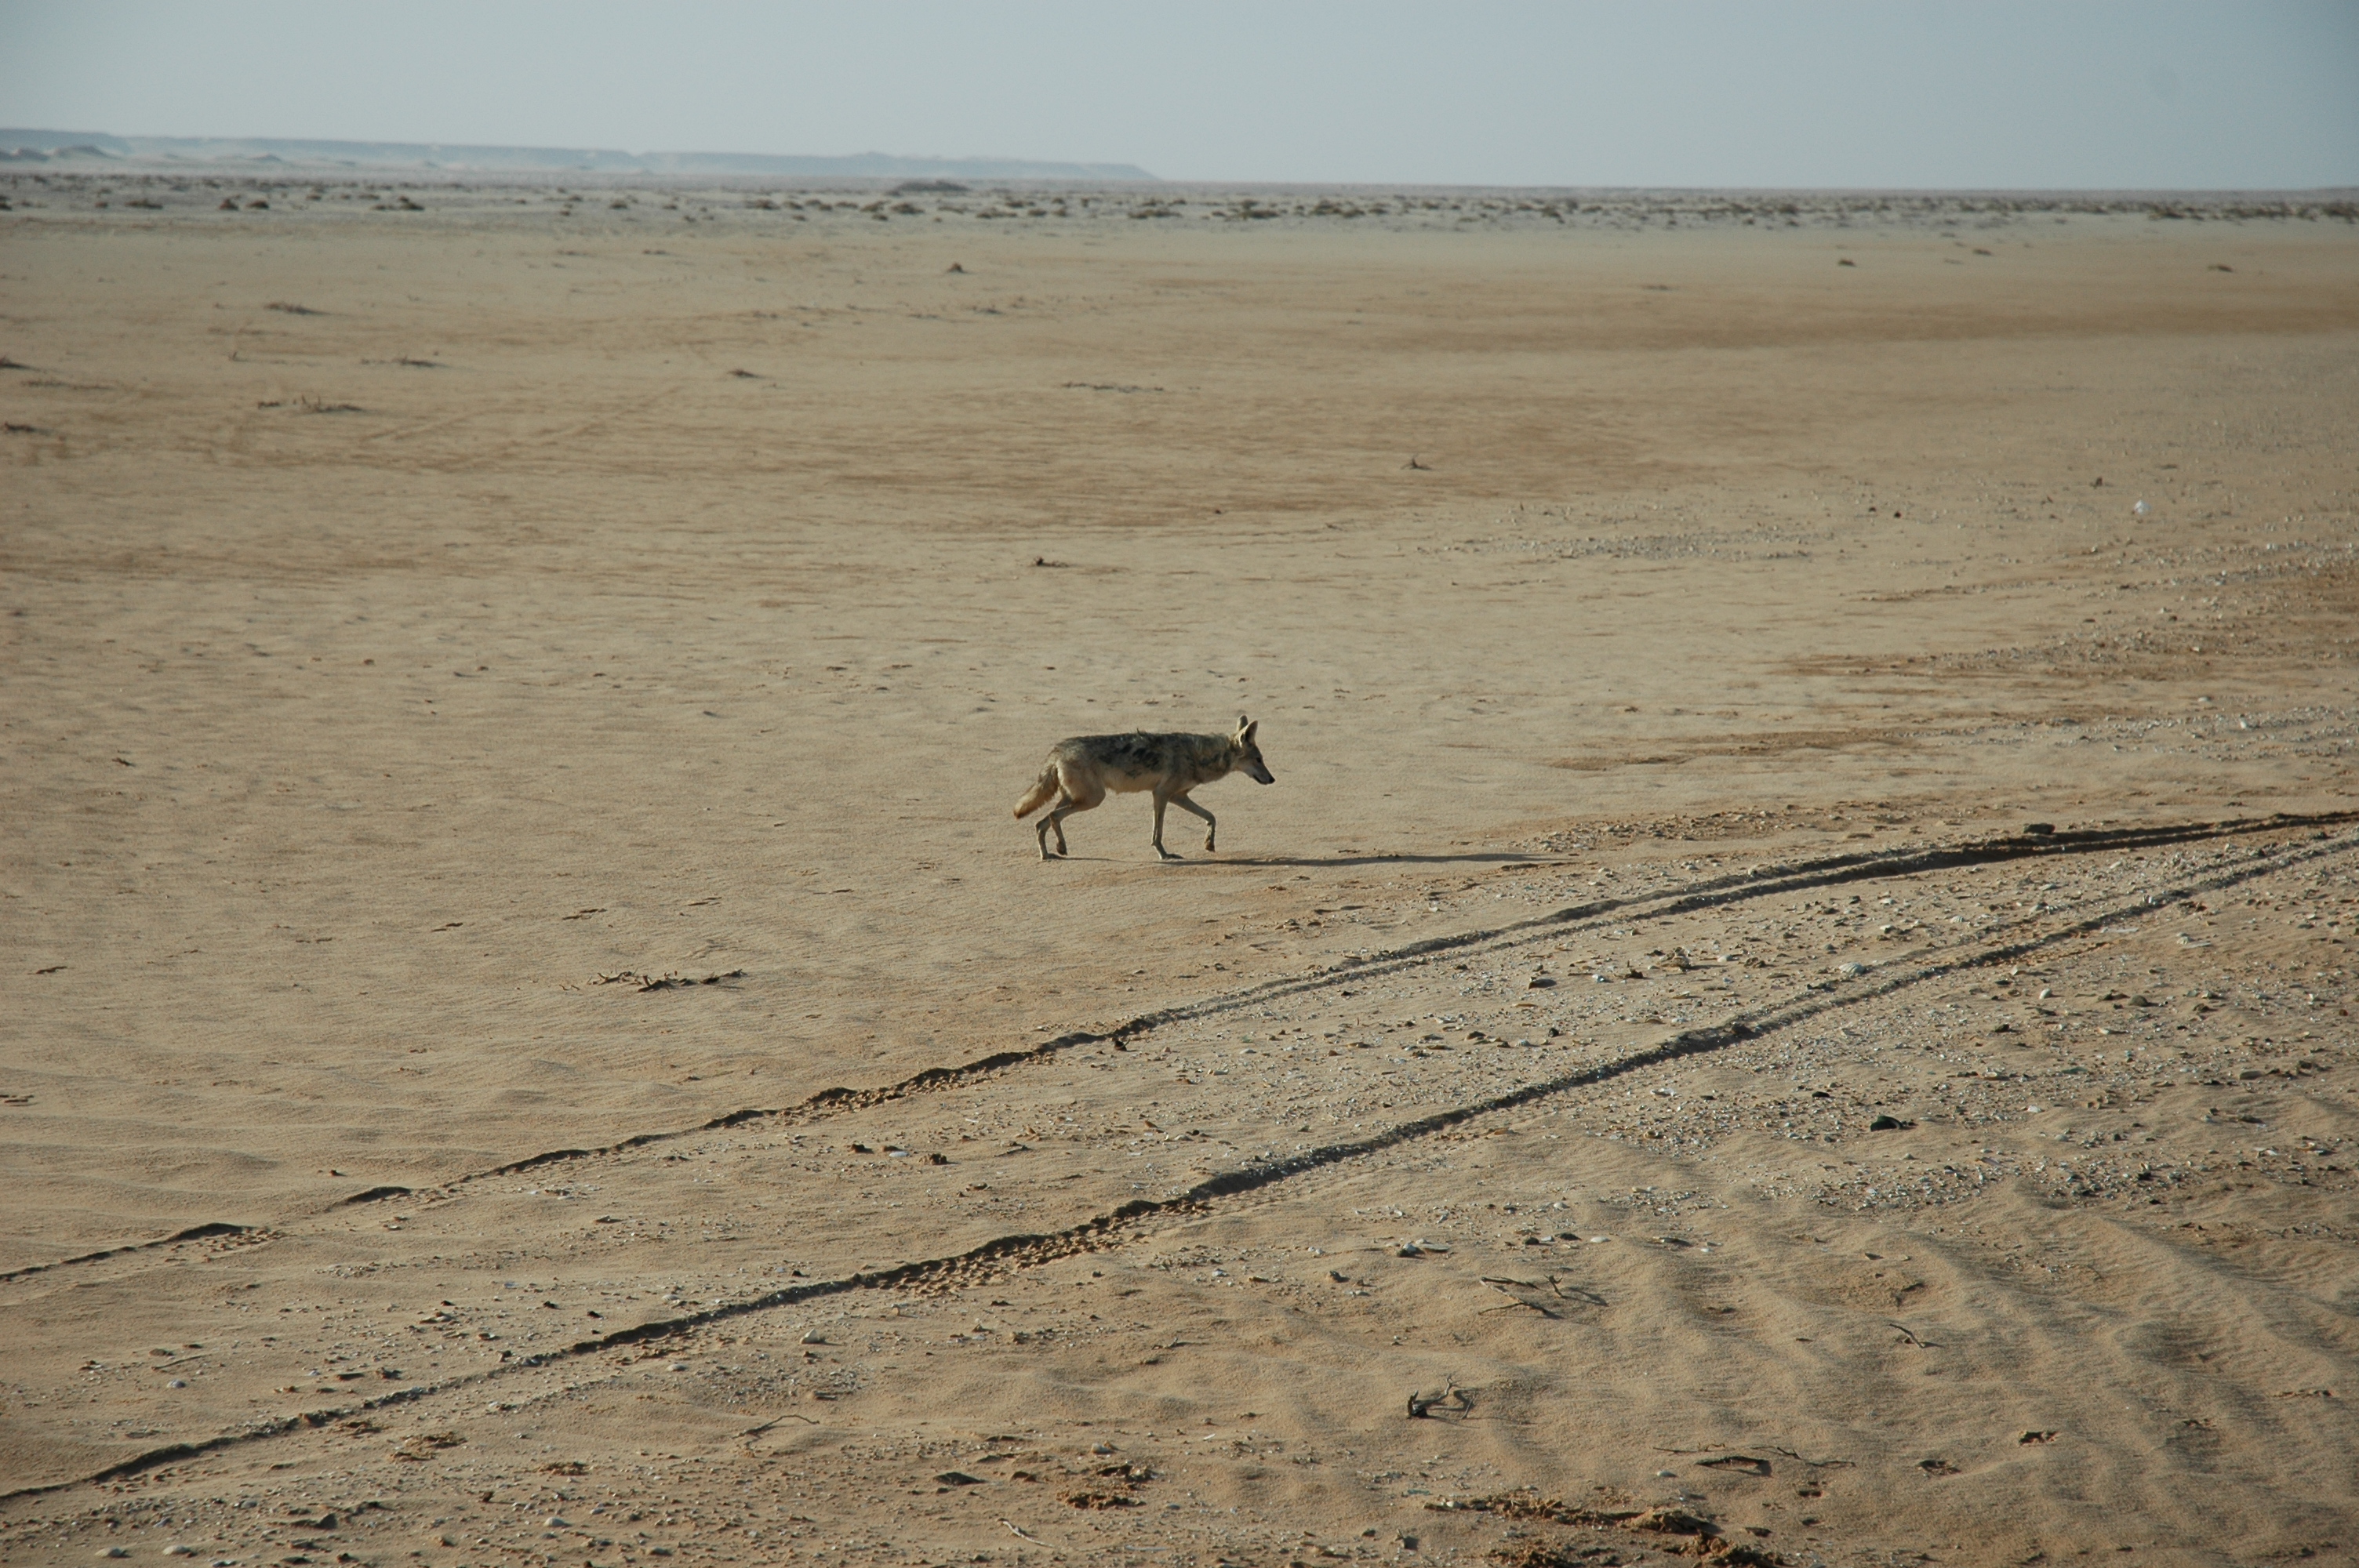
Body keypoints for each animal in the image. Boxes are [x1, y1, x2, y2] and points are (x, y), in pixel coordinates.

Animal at [1012, 717, 1275, 861]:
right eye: (1259, 759)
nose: (1272, 780)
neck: (1198, 756)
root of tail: (1058, 749)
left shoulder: (1178, 797)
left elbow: (1211, 816)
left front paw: (1209, 843)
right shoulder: (1161, 795)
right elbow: (1157, 833)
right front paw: (1164, 855)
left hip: (1077, 799)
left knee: (1040, 823)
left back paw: (1047, 855)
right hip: (1093, 799)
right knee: (1052, 816)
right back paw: (1061, 848)